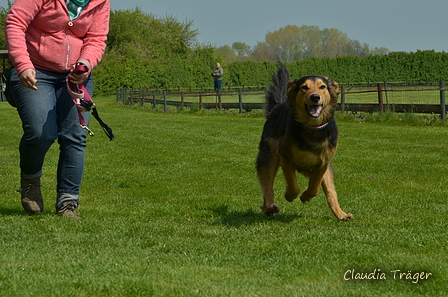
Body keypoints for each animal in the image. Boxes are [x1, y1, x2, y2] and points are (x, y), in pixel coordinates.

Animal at [256, 63, 354, 220]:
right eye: (304, 87)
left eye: (322, 87)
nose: (315, 97)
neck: (313, 128)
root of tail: (277, 106)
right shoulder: (284, 154)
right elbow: (292, 184)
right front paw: (290, 195)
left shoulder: (323, 162)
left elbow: (315, 187)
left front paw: (306, 196)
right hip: (268, 154)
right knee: (267, 185)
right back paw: (269, 207)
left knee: (331, 192)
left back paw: (341, 214)